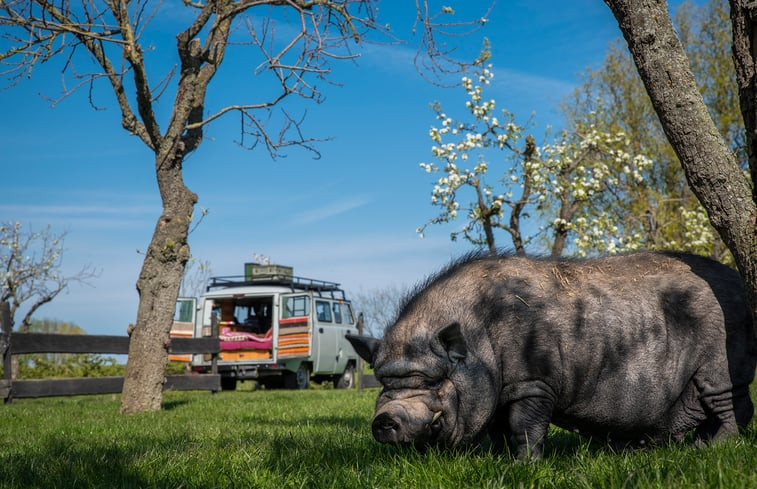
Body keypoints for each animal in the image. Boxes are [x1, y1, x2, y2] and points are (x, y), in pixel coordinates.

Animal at [346, 252, 752, 458]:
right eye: (383, 382)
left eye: (434, 380)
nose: (385, 419)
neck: (482, 340)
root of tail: (738, 280)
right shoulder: (502, 392)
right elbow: (499, 428)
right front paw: (496, 459)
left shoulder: (533, 382)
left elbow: (523, 426)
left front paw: (523, 465)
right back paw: (702, 443)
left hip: (720, 363)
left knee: (730, 405)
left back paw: (713, 447)